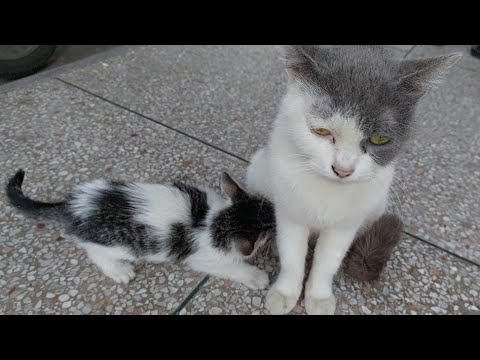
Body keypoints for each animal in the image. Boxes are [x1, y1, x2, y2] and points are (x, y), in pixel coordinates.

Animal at [7, 169, 276, 290]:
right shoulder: (202, 258)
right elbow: (231, 266)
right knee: (93, 251)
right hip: (113, 244)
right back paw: (118, 270)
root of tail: (75, 207)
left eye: (266, 204)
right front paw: (256, 276)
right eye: (268, 231)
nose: (278, 211)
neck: (210, 220)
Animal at [248, 45, 462, 316]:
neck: (327, 190)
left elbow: (328, 261)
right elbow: (292, 256)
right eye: (321, 131)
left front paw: (318, 297)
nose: (343, 169)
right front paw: (284, 293)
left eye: (380, 139)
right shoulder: (290, 212)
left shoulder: (345, 225)